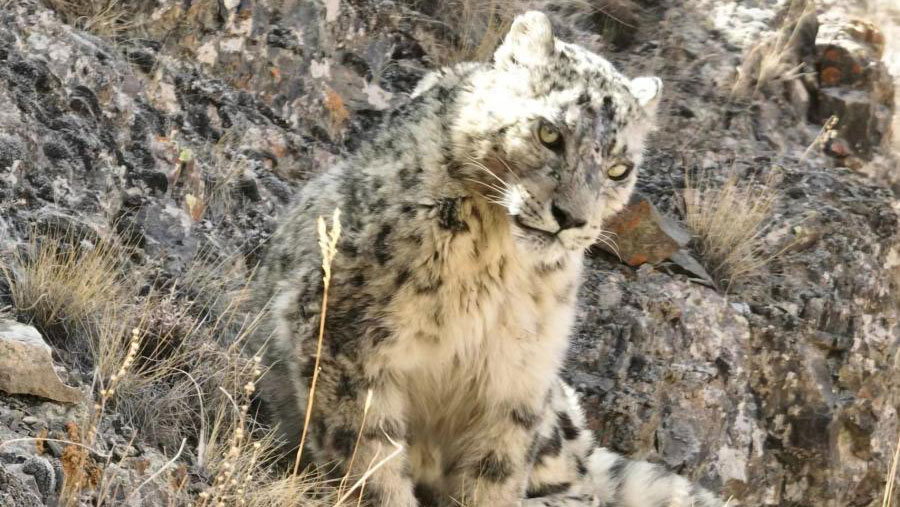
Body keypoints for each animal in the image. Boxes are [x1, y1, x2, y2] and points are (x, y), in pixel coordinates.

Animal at [251, 8, 724, 507]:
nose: (571, 218)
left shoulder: (517, 376)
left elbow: (495, 470)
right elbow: (369, 459)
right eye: (549, 133)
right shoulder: (346, 335)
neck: (496, 264)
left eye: (619, 169)